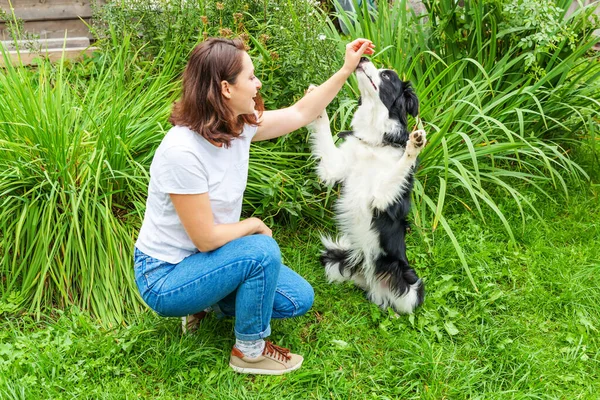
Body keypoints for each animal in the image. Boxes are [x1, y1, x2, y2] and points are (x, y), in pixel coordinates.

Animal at [310, 57, 426, 312]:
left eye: (387, 76)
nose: (362, 58)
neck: (374, 143)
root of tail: (369, 280)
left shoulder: (381, 198)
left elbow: (399, 169)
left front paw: (415, 145)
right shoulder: (334, 166)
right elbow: (324, 133)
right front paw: (317, 104)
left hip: (410, 284)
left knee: (396, 303)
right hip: (333, 260)